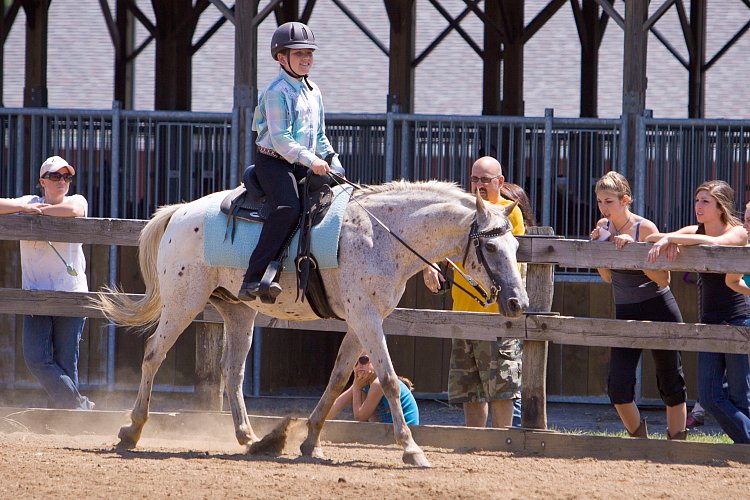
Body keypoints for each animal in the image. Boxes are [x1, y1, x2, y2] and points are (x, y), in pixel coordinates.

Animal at [95, 181, 528, 468]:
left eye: (515, 246)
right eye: (490, 246)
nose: (517, 303)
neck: (381, 236)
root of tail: (181, 211)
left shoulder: (360, 321)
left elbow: (337, 380)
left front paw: (311, 441)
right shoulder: (366, 318)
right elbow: (388, 379)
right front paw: (411, 449)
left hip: (238, 312)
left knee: (232, 372)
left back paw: (251, 439)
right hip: (184, 302)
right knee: (154, 354)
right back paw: (132, 430)